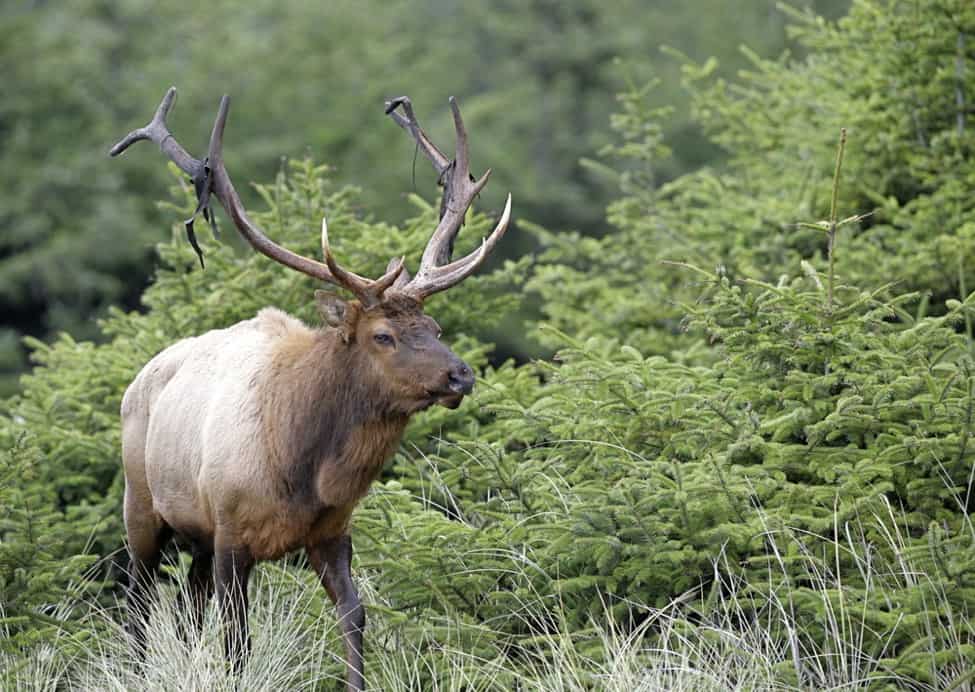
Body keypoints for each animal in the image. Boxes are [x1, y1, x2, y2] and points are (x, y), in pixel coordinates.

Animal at [110, 89, 516, 688]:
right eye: (383, 335)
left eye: (436, 327)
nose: (460, 374)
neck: (303, 471)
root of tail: (139, 377)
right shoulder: (231, 530)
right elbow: (237, 641)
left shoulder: (331, 530)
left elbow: (354, 615)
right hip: (142, 505)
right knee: (138, 602)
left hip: (196, 535)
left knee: (186, 607)